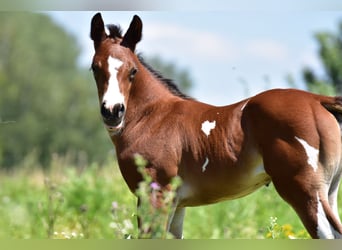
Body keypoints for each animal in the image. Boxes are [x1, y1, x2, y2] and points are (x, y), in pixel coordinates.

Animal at [89, 13, 342, 238]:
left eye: (133, 70)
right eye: (94, 68)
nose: (112, 111)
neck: (152, 117)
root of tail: (317, 100)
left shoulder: (155, 195)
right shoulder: (177, 204)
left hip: (304, 191)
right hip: (328, 192)